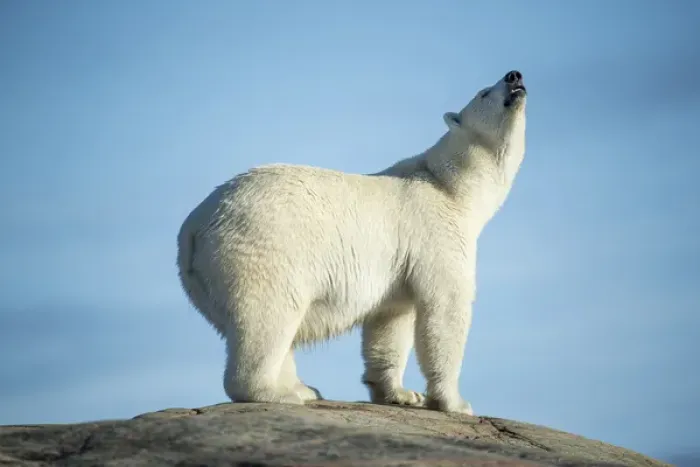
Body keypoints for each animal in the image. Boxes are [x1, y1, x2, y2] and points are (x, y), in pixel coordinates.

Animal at [176, 70, 528, 414]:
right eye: (484, 92)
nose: (514, 76)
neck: (452, 186)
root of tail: (192, 227)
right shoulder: (436, 231)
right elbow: (446, 308)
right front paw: (456, 403)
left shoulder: (402, 263)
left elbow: (391, 321)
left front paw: (400, 394)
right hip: (262, 249)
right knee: (268, 316)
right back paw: (276, 393)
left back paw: (302, 388)